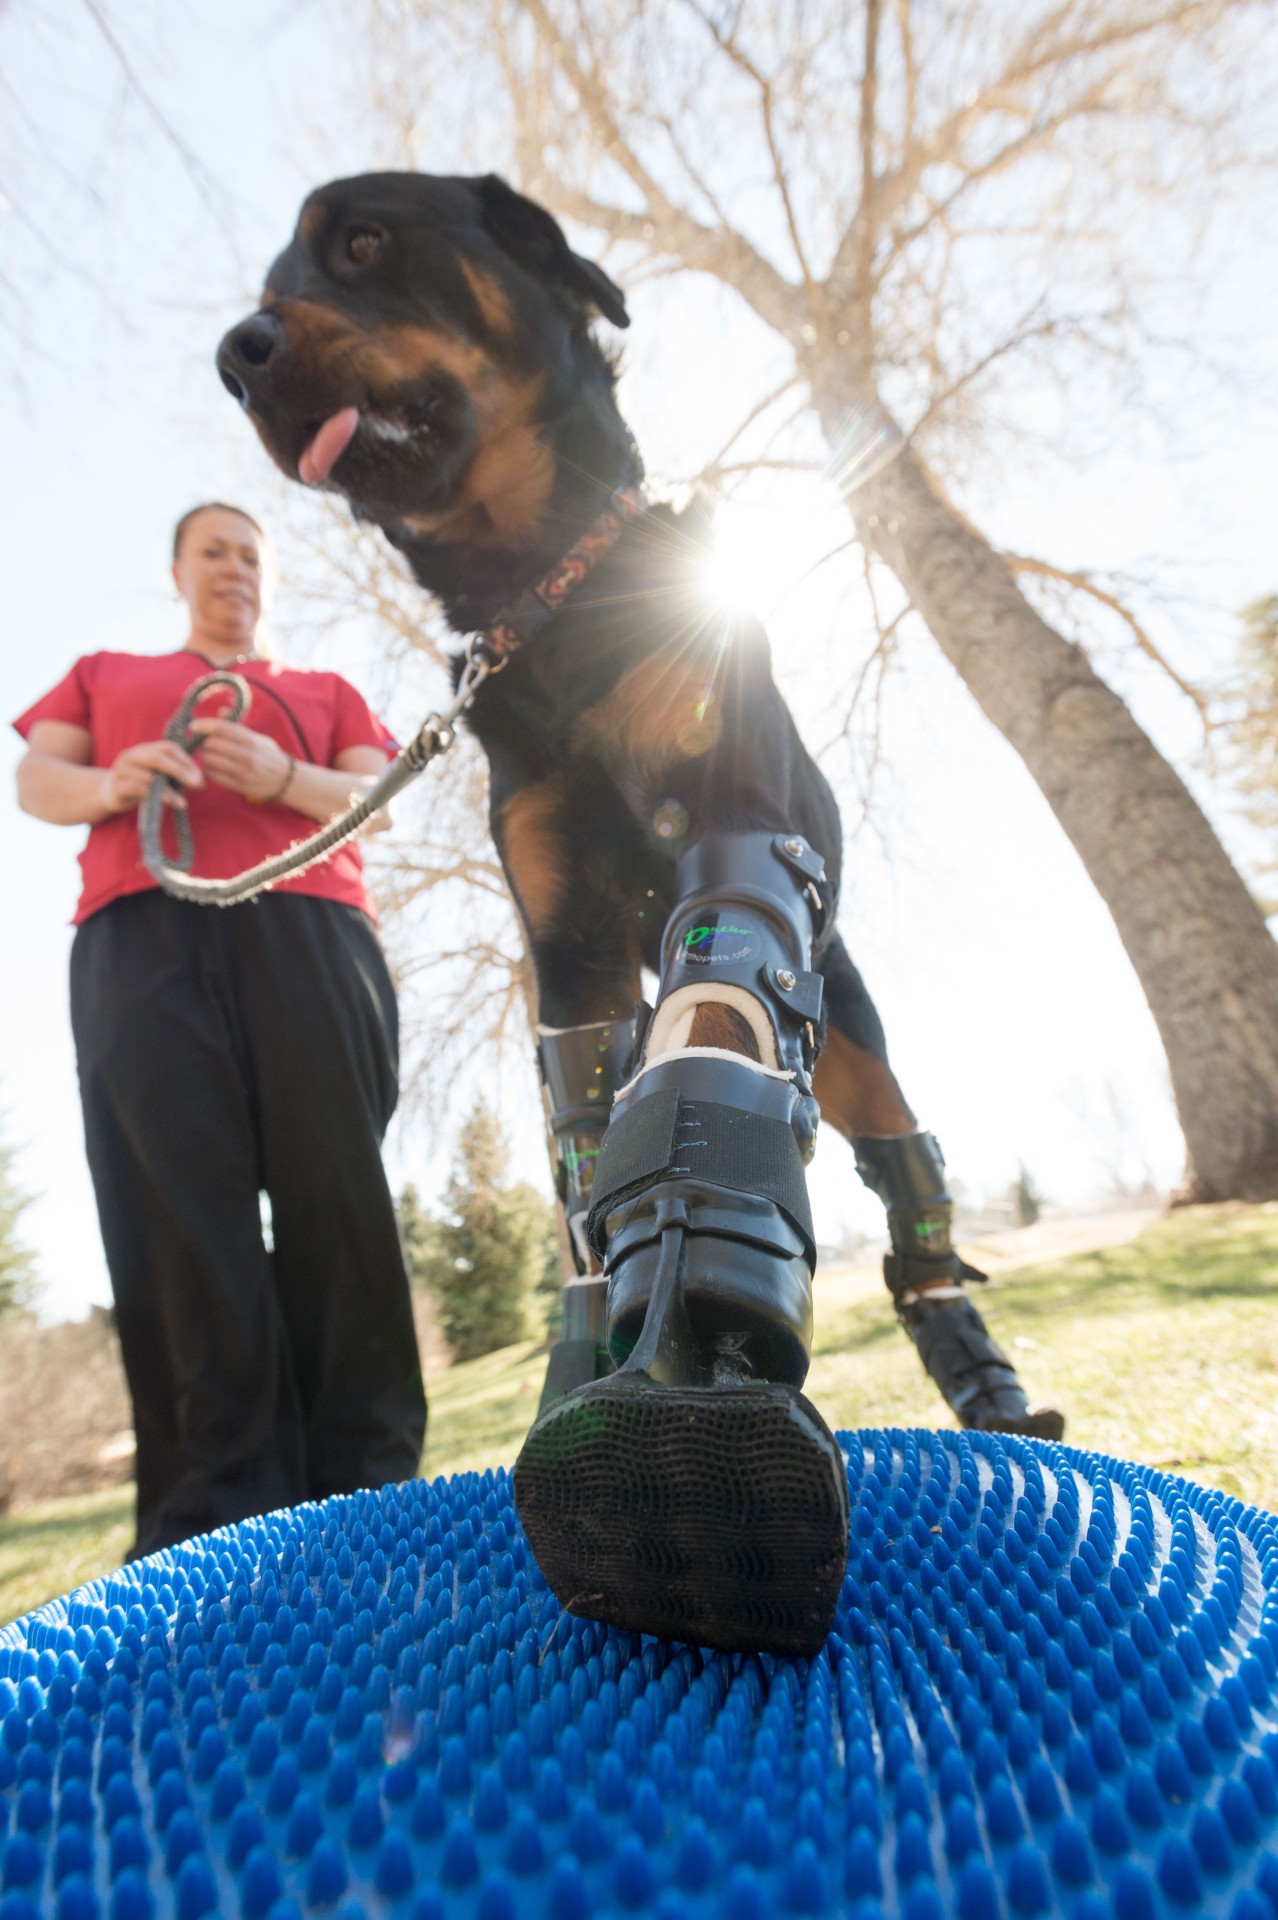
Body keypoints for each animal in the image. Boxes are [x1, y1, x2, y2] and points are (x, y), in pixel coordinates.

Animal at [218, 172, 1051, 1658]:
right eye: (272, 280)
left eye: (363, 241)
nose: (234, 355)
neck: (552, 605)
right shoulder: (566, 956)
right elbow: (588, 1125)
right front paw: (616, 1341)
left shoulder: (737, 817)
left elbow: (717, 986)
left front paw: (703, 1250)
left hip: (853, 1028)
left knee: (908, 1184)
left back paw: (986, 1389)